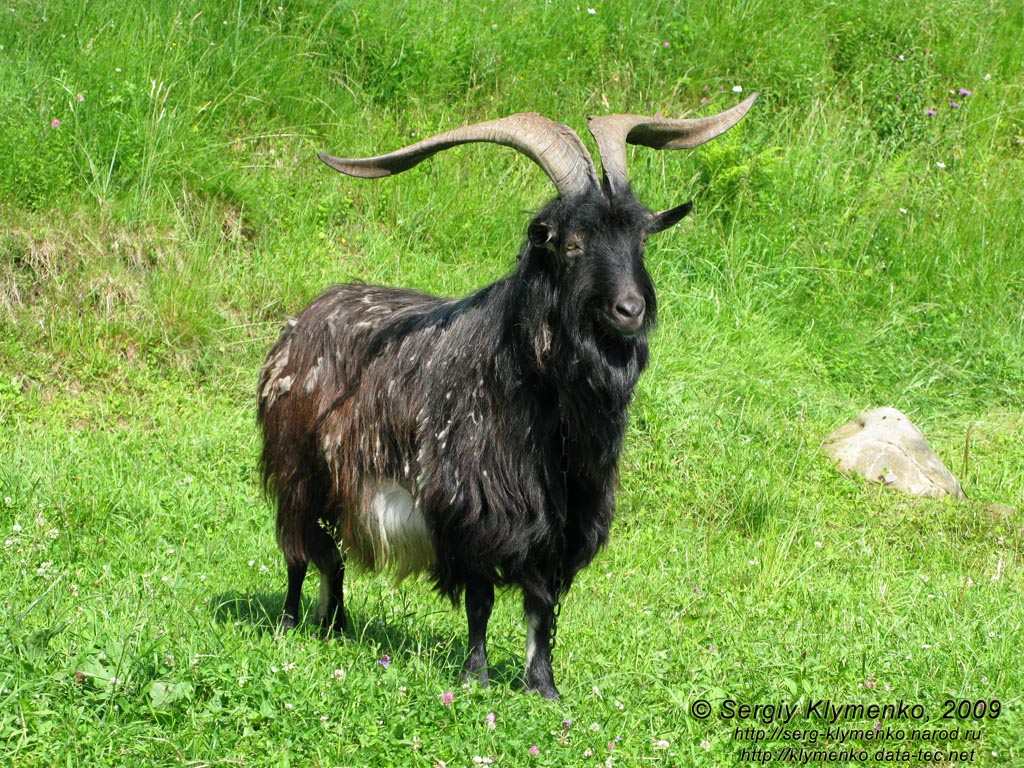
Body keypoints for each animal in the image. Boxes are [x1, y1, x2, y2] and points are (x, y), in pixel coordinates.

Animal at [256, 99, 753, 700]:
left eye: (640, 240)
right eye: (570, 244)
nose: (630, 310)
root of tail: (300, 323)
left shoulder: (562, 522)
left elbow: (541, 607)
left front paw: (544, 686)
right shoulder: (473, 507)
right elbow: (481, 599)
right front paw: (476, 676)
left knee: (332, 560)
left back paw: (335, 625)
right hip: (297, 472)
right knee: (300, 552)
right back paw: (290, 623)